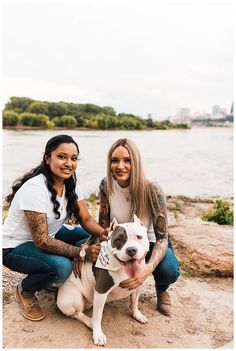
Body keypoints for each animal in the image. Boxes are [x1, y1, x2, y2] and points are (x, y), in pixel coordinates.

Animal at [56, 217, 149, 346]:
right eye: (119, 239)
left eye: (139, 237)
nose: (131, 250)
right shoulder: (101, 291)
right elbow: (98, 316)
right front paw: (98, 335)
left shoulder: (137, 284)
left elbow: (134, 302)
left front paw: (137, 315)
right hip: (70, 299)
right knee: (76, 313)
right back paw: (90, 322)